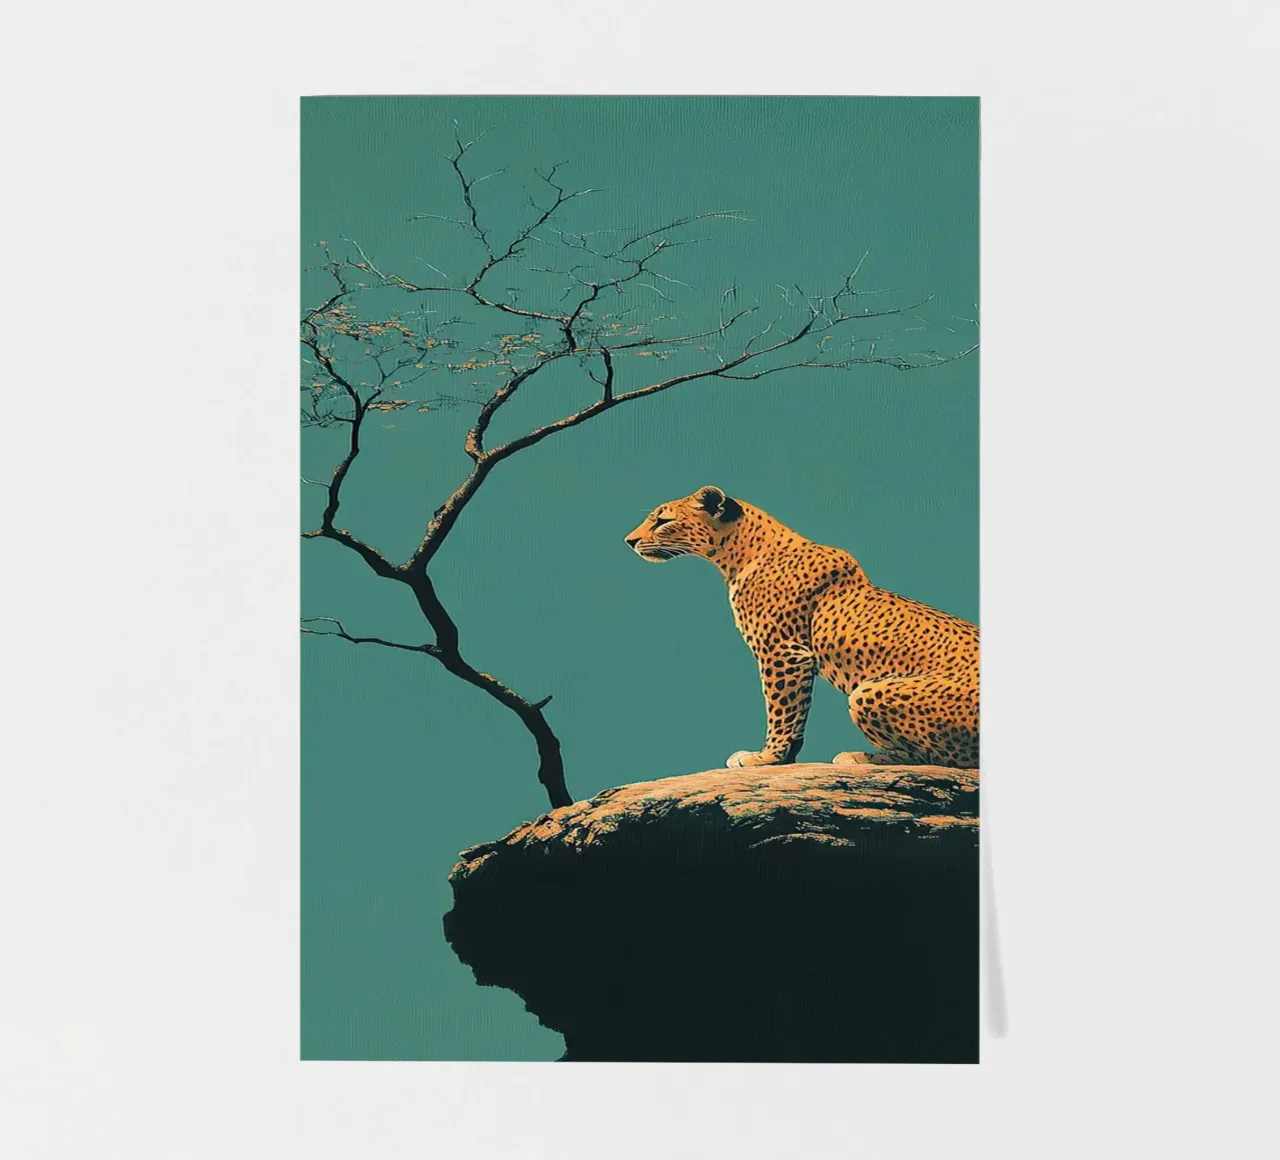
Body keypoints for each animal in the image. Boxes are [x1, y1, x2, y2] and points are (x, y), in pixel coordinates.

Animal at [625, 486, 979, 770]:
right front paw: (784, 757)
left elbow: (780, 708)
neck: (736, 556)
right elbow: (794, 713)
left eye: (662, 521)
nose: (629, 541)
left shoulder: (782, 652)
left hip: (868, 690)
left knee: (946, 759)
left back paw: (861, 757)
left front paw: (766, 757)